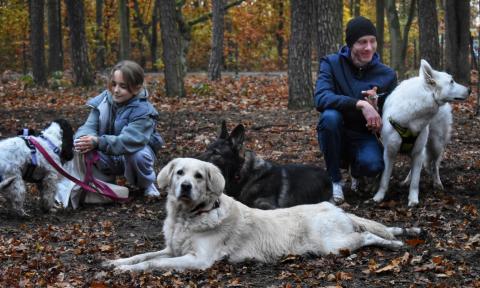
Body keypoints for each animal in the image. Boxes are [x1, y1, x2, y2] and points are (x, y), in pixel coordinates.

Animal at [104, 158, 420, 272]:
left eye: (198, 176)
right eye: (180, 172)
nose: (185, 186)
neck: (188, 217)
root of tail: (335, 207)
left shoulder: (198, 260)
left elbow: (153, 263)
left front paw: (126, 271)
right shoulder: (172, 248)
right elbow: (144, 255)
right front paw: (116, 262)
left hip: (332, 244)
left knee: (367, 236)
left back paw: (394, 244)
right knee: (376, 230)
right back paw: (405, 234)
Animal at [374, 59, 470, 206]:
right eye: (451, 81)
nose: (470, 90)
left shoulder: (418, 152)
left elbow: (416, 181)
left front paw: (413, 200)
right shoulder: (389, 152)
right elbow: (384, 179)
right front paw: (379, 197)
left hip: (436, 144)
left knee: (435, 165)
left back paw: (437, 183)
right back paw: (406, 181)